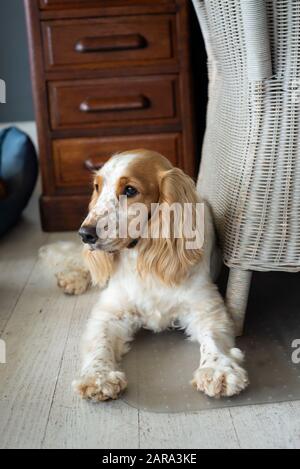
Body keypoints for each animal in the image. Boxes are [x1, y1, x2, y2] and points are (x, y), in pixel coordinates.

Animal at [42, 152, 248, 400]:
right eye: (97, 187)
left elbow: (214, 340)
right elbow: (100, 342)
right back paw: (72, 279)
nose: (85, 234)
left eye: (130, 190)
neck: (142, 256)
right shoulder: (110, 312)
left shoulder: (207, 308)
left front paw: (218, 370)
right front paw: (98, 376)